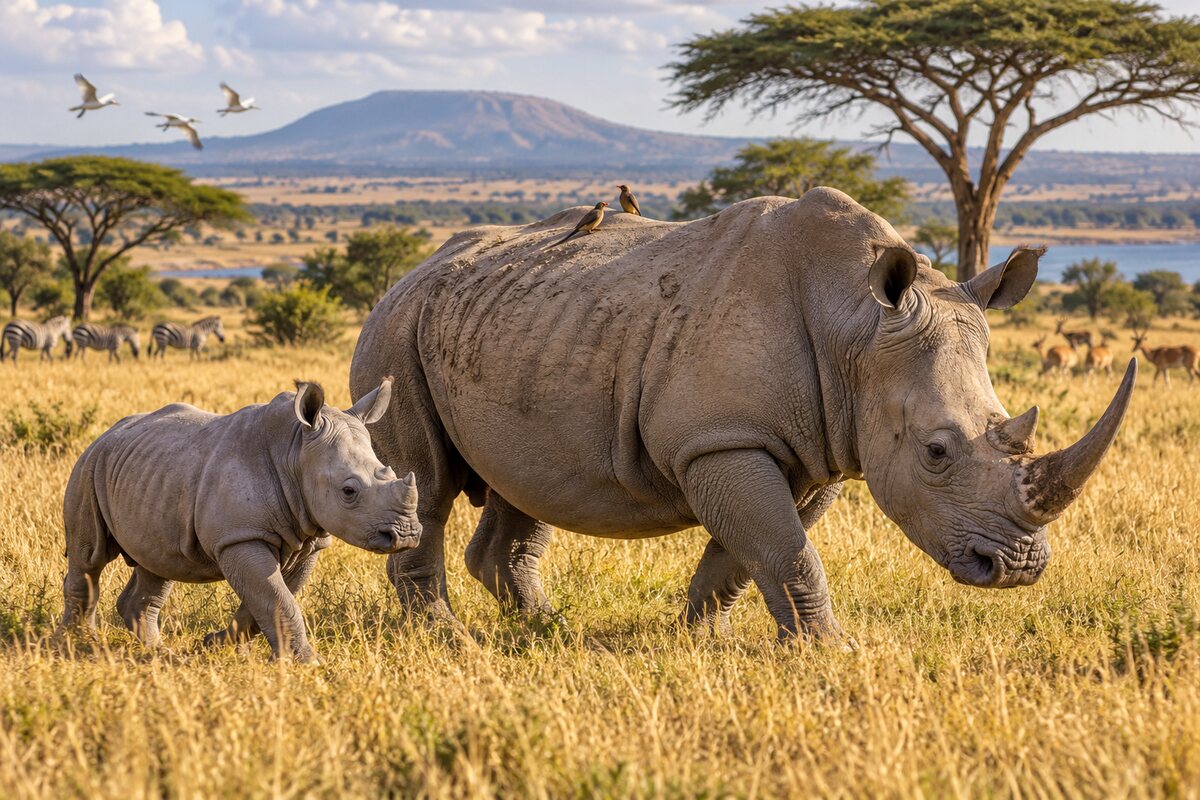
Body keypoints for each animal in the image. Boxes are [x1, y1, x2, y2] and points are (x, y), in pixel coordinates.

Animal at [56, 378, 421, 662]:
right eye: (349, 491)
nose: (405, 535)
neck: (295, 452)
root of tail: (106, 433)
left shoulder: (308, 540)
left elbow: (270, 598)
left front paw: (215, 644)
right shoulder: (240, 536)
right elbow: (278, 598)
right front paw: (308, 664)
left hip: (151, 475)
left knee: (157, 563)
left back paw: (158, 652)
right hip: (88, 467)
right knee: (89, 557)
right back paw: (77, 644)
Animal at [349, 189, 1136, 642]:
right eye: (937, 452)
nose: (1016, 569)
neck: (857, 324)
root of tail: (413, 270)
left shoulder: (813, 449)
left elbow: (757, 549)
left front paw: (701, 641)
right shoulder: (722, 441)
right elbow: (786, 549)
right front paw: (830, 654)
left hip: (517, 323)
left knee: (530, 480)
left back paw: (549, 630)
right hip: (396, 329)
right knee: (426, 480)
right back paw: (448, 640)